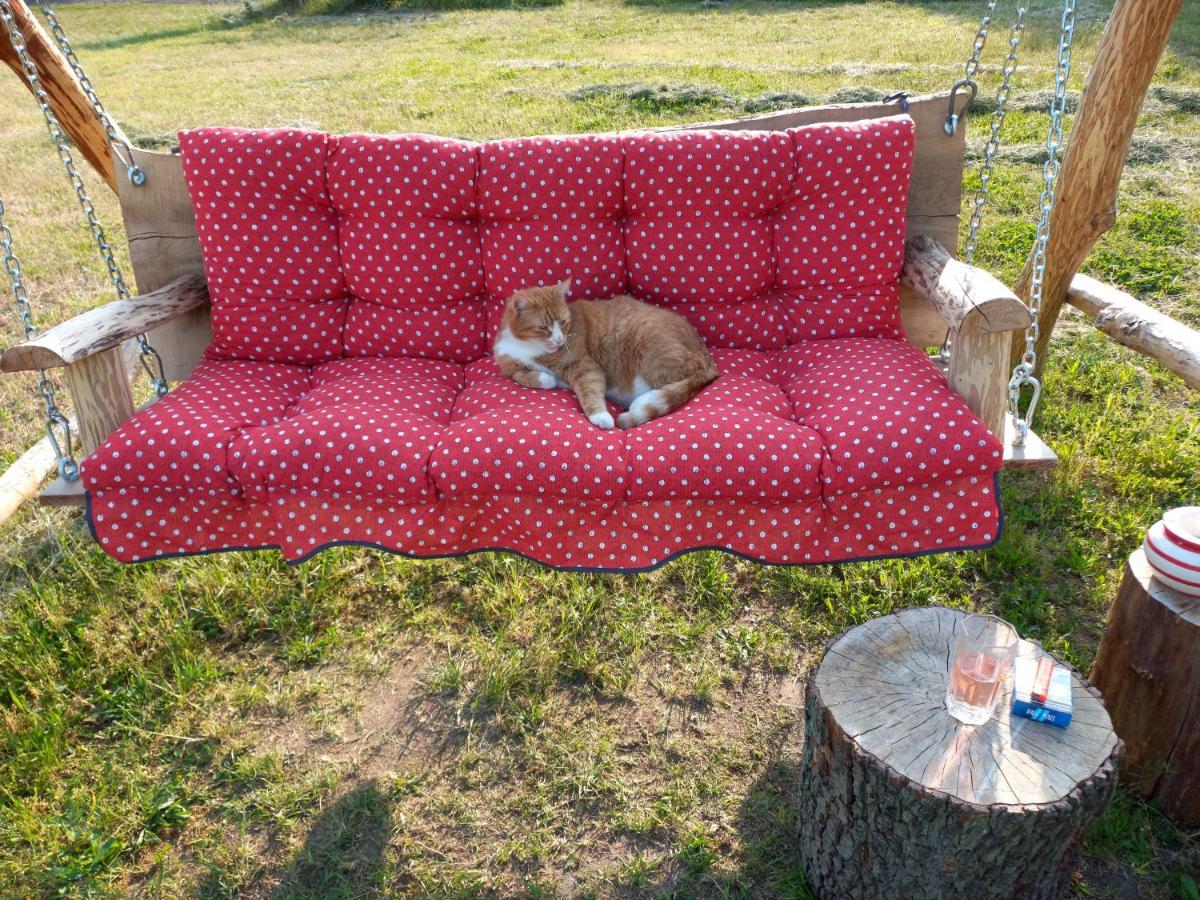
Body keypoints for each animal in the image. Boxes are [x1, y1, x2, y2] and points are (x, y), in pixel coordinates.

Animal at [492, 280, 715, 432]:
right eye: (543, 328)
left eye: (563, 323)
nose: (559, 339)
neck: (527, 346)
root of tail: (706, 354)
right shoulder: (508, 365)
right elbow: (519, 375)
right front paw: (545, 379)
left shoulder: (584, 366)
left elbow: (589, 389)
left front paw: (601, 416)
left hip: (652, 349)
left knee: (686, 381)